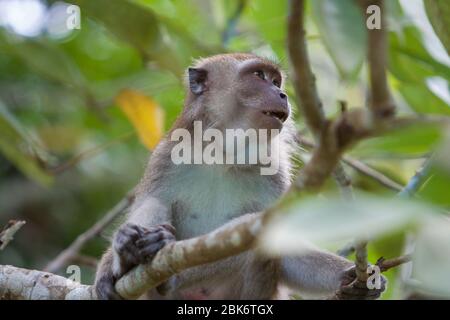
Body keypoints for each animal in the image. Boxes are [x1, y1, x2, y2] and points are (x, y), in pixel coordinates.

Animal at [94, 53, 384, 300]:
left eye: (276, 81)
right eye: (258, 75)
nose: (282, 94)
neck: (222, 154)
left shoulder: (274, 172)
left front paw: (354, 279)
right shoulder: (167, 157)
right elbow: (150, 201)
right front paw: (114, 262)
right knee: (156, 205)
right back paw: (135, 254)